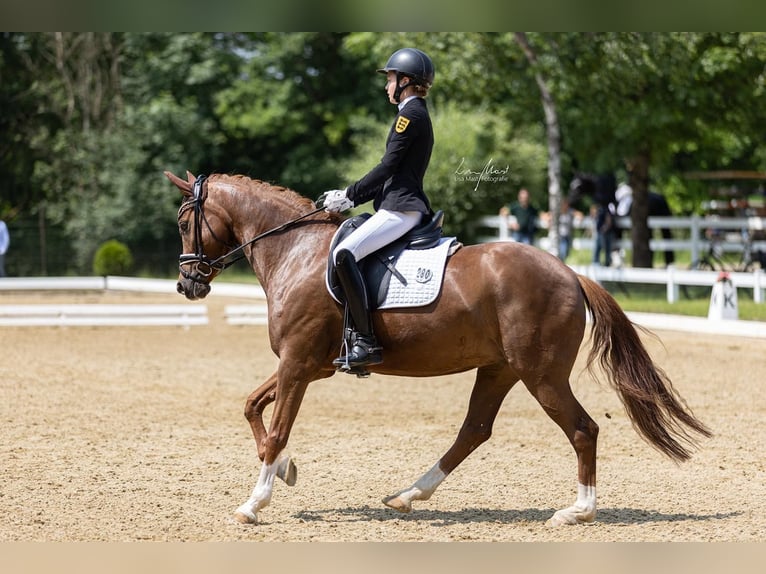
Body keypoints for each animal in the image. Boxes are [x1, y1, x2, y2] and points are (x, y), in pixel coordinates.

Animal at [165, 170, 711, 527]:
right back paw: (409, 494)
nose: (187, 285)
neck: (296, 254)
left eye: (183, 221)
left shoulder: (298, 364)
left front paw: (254, 503)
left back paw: (578, 511)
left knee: (582, 429)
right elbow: (252, 407)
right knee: (475, 430)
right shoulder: (308, 366)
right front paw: (285, 470)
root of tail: (570, 273)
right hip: (500, 369)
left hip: (542, 375)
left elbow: (276, 429)